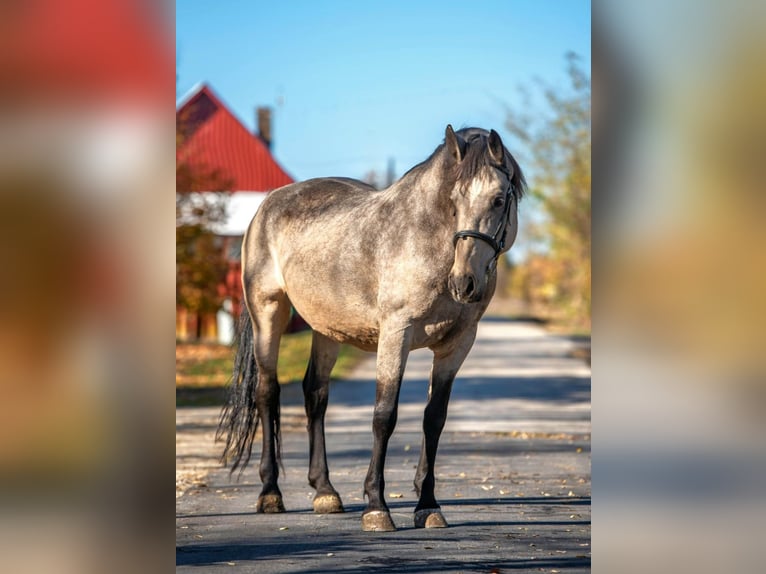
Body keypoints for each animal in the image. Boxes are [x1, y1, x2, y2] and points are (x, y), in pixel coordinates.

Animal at [217, 125, 525, 532]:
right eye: (454, 200)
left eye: (499, 199)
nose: (465, 283)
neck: (428, 241)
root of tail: (265, 207)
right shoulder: (396, 333)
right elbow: (384, 415)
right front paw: (377, 507)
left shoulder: (457, 345)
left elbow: (434, 419)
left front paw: (428, 505)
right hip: (268, 313)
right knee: (267, 393)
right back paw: (270, 493)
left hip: (327, 329)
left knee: (315, 394)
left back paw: (325, 492)